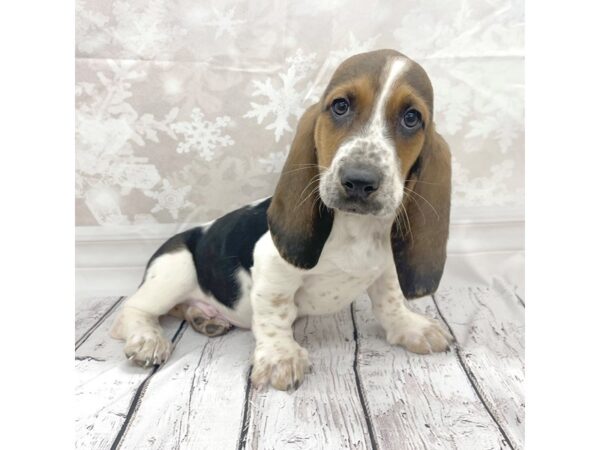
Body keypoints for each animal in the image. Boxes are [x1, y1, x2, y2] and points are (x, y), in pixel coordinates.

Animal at [111, 49, 450, 392]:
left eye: (411, 118)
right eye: (340, 106)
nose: (359, 180)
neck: (356, 227)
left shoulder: (387, 268)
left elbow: (390, 301)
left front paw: (410, 327)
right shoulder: (273, 268)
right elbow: (275, 313)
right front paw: (280, 357)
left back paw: (204, 319)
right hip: (174, 271)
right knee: (131, 311)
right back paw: (147, 340)